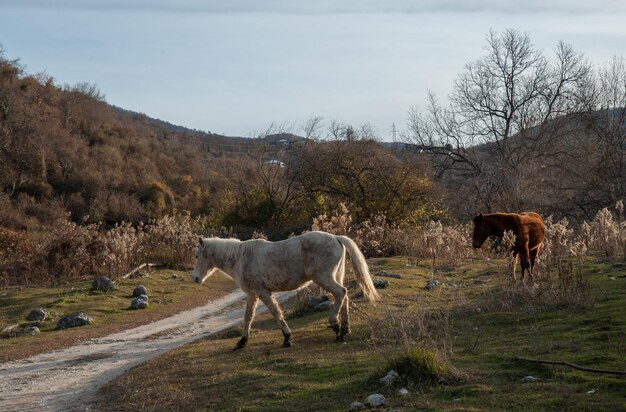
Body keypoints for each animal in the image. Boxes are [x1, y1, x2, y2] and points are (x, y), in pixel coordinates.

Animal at [190, 230, 378, 350]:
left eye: (197, 255)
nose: (195, 278)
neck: (240, 257)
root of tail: (336, 237)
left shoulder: (263, 293)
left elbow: (275, 312)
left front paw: (287, 338)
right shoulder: (252, 294)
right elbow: (248, 317)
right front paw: (242, 342)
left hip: (324, 278)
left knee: (341, 293)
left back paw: (336, 326)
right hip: (336, 276)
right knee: (344, 297)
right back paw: (344, 331)